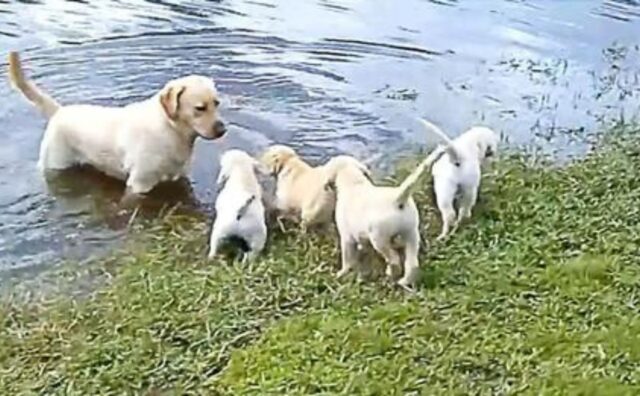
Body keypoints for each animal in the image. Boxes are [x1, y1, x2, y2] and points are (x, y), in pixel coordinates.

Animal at [7, 50, 226, 196]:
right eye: (200, 108)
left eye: (217, 103)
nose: (223, 129)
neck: (171, 130)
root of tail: (59, 110)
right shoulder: (140, 183)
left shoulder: (178, 175)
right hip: (56, 164)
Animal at [324, 148, 444, 290]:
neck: (354, 183)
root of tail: (397, 199)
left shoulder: (346, 238)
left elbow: (347, 259)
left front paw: (342, 273)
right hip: (411, 234)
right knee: (412, 264)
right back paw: (404, 281)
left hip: (379, 238)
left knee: (394, 260)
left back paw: (391, 274)